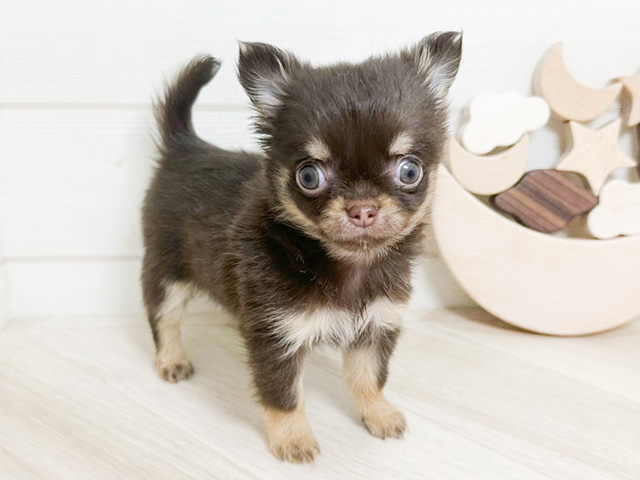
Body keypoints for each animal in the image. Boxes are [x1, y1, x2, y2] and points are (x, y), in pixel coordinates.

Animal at [141, 31, 460, 464]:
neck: (348, 265)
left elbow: (369, 378)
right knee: (165, 319)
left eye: (409, 171)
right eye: (309, 176)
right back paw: (172, 360)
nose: (363, 209)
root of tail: (185, 145)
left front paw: (379, 414)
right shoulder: (276, 338)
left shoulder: (376, 326)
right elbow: (284, 395)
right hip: (167, 273)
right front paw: (293, 439)